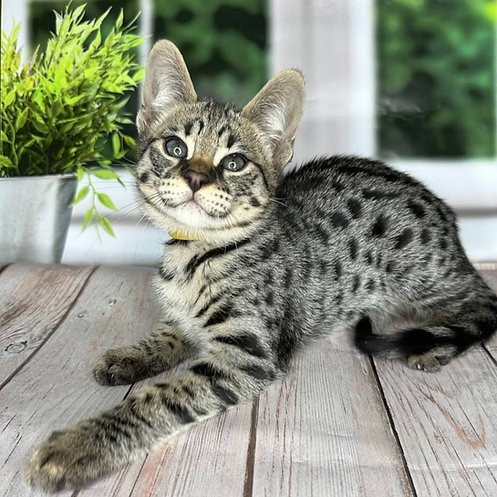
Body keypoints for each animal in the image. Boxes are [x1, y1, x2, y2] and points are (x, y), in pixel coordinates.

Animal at [26, 39, 496, 492]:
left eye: (233, 162)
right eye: (175, 148)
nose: (196, 177)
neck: (196, 254)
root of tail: (445, 217)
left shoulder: (247, 352)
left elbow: (162, 397)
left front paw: (79, 445)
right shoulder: (187, 319)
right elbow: (170, 332)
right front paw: (131, 355)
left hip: (424, 279)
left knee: (481, 302)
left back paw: (434, 346)